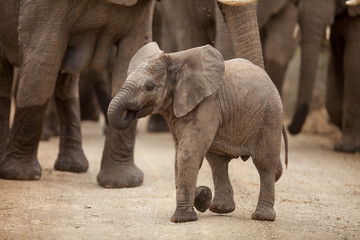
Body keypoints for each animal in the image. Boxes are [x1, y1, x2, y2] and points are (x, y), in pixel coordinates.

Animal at [0, 0, 154, 185]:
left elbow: (133, 53)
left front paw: (123, 183)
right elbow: (42, 62)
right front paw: (20, 175)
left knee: (67, 80)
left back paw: (72, 167)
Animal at [108, 41, 288, 223]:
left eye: (149, 87)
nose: (130, 113)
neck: (175, 61)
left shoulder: (207, 103)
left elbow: (188, 154)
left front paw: (182, 219)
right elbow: (179, 155)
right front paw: (203, 196)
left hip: (270, 116)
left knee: (264, 163)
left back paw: (262, 217)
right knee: (217, 161)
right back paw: (220, 208)